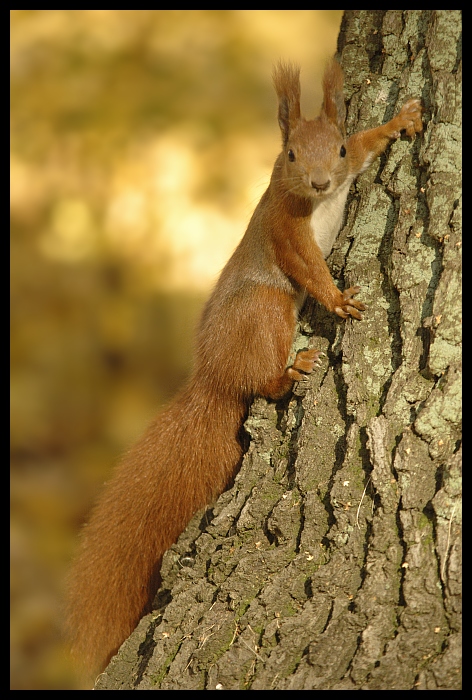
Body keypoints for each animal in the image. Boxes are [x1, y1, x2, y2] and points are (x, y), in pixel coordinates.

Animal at [64, 57, 422, 676]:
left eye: (338, 148)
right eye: (292, 156)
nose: (322, 183)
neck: (311, 198)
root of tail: (212, 379)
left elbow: (372, 141)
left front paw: (401, 120)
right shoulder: (284, 224)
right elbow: (307, 264)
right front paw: (337, 300)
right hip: (267, 308)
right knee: (262, 380)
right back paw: (289, 372)